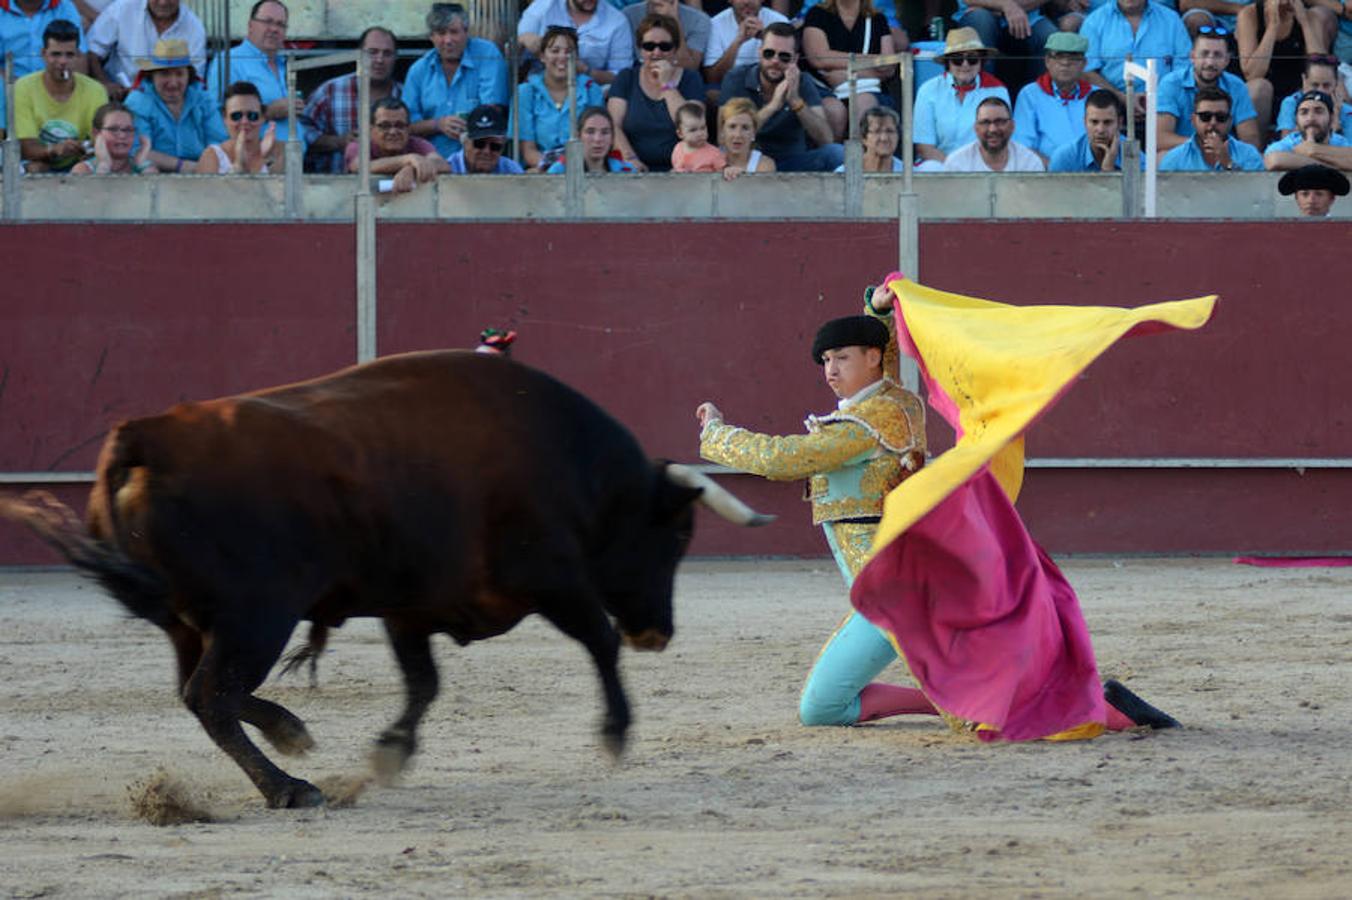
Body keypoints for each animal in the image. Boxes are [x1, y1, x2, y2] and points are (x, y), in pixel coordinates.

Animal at [0, 348, 773, 805]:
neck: (579, 466)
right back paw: (289, 782)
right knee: (212, 694)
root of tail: (145, 435)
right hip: (257, 614)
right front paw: (615, 732)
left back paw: (288, 741)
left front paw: (390, 751)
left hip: (190, 621)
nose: (657, 633)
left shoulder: (413, 607)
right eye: (675, 538)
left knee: (200, 694)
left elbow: (423, 683)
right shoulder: (550, 577)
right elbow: (598, 644)